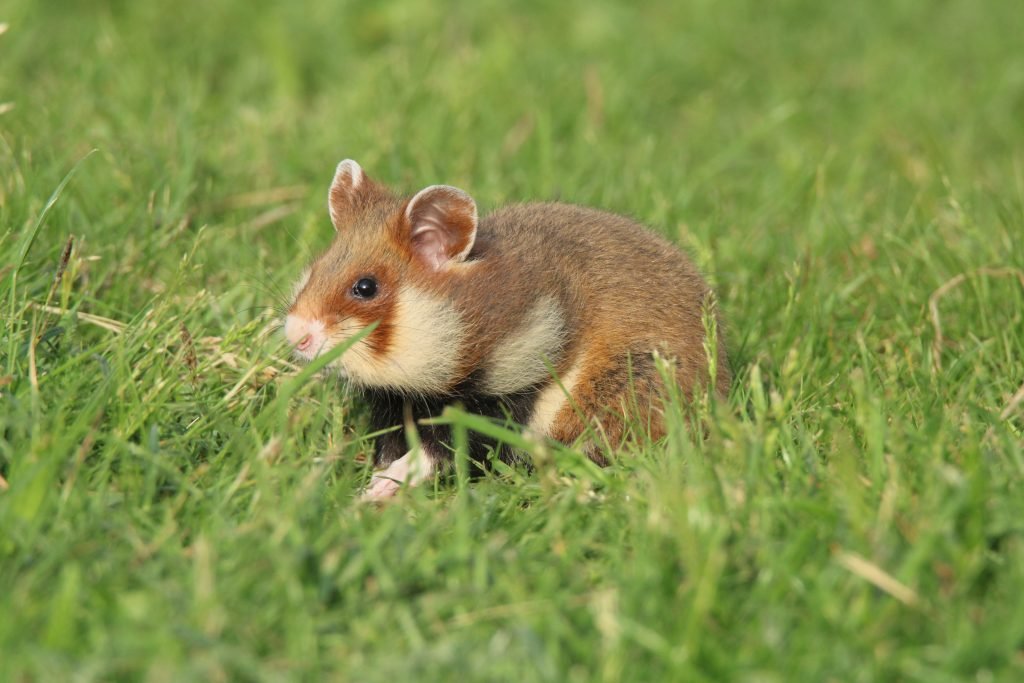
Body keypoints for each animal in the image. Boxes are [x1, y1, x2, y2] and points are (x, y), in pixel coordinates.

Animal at [284, 159, 730, 500]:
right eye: (318, 266)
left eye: (365, 287)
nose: (294, 337)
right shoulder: (398, 405)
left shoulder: (509, 390)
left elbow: (437, 451)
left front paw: (374, 491)